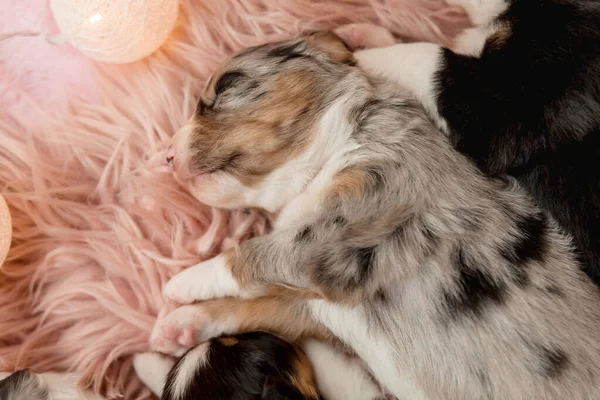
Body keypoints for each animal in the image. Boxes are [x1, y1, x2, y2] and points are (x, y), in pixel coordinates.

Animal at [145, 29, 600, 398]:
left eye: (227, 86)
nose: (166, 154)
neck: (325, 160)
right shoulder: (321, 308)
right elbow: (255, 310)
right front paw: (178, 327)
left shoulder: (346, 229)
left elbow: (250, 257)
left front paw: (179, 285)